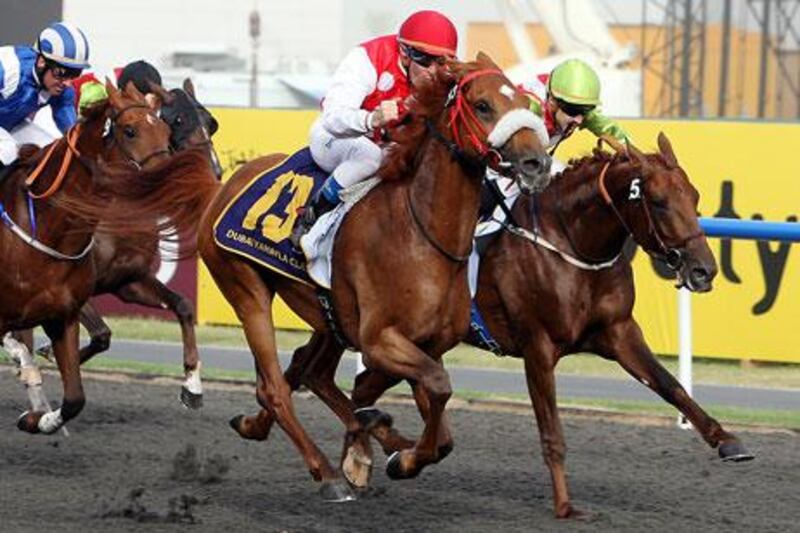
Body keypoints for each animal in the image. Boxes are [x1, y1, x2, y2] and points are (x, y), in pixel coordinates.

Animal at [197, 54, 552, 498]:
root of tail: (227, 184)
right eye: (483, 105)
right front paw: (387, 450)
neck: (421, 234)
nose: (537, 163)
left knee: (306, 374)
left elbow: (442, 427)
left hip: (329, 318)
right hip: (246, 289)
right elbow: (439, 385)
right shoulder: (379, 340)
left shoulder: (428, 344)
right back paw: (329, 471)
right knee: (275, 387)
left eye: (523, 101)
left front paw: (399, 453)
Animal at [346, 133, 756, 516]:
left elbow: (671, 386)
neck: (573, 245)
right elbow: (552, 432)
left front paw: (727, 440)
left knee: (368, 389)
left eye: (694, 195)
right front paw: (564, 505)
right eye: (658, 201)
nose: (704, 270)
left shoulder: (619, 331)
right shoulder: (538, 347)